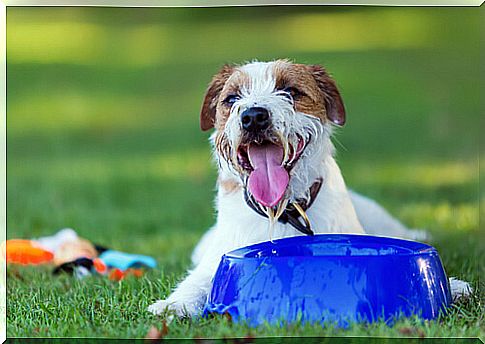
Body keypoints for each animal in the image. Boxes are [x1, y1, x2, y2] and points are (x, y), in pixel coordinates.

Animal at [148, 59, 472, 318]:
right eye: (232, 98)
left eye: (291, 91)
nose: (253, 116)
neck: (282, 211)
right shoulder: (216, 258)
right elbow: (197, 281)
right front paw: (173, 304)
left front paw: (452, 286)